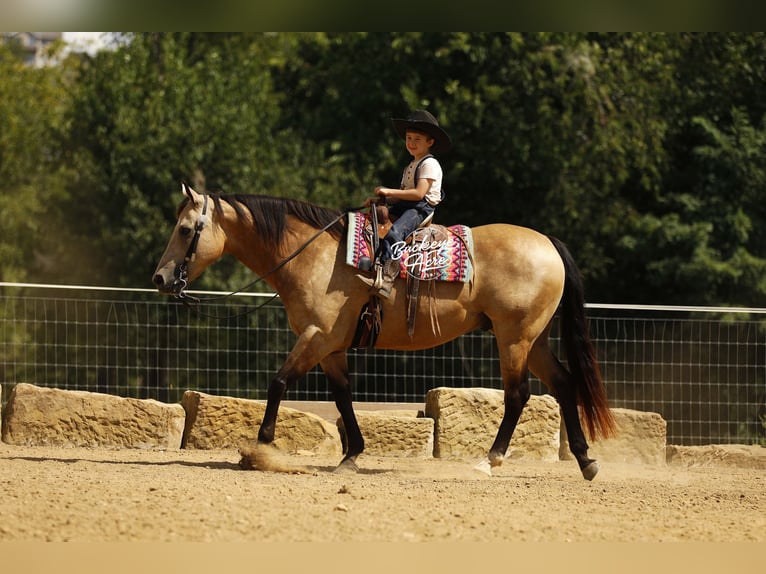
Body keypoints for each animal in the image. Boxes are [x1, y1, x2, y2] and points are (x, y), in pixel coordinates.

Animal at [153, 183, 616, 480]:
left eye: (185, 229)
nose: (160, 278)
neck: (314, 256)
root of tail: (548, 243)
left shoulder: (317, 336)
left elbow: (279, 383)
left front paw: (260, 450)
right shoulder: (331, 347)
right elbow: (342, 397)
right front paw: (351, 455)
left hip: (514, 339)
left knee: (518, 395)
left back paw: (490, 460)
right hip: (534, 339)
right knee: (564, 384)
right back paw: (586, 461)